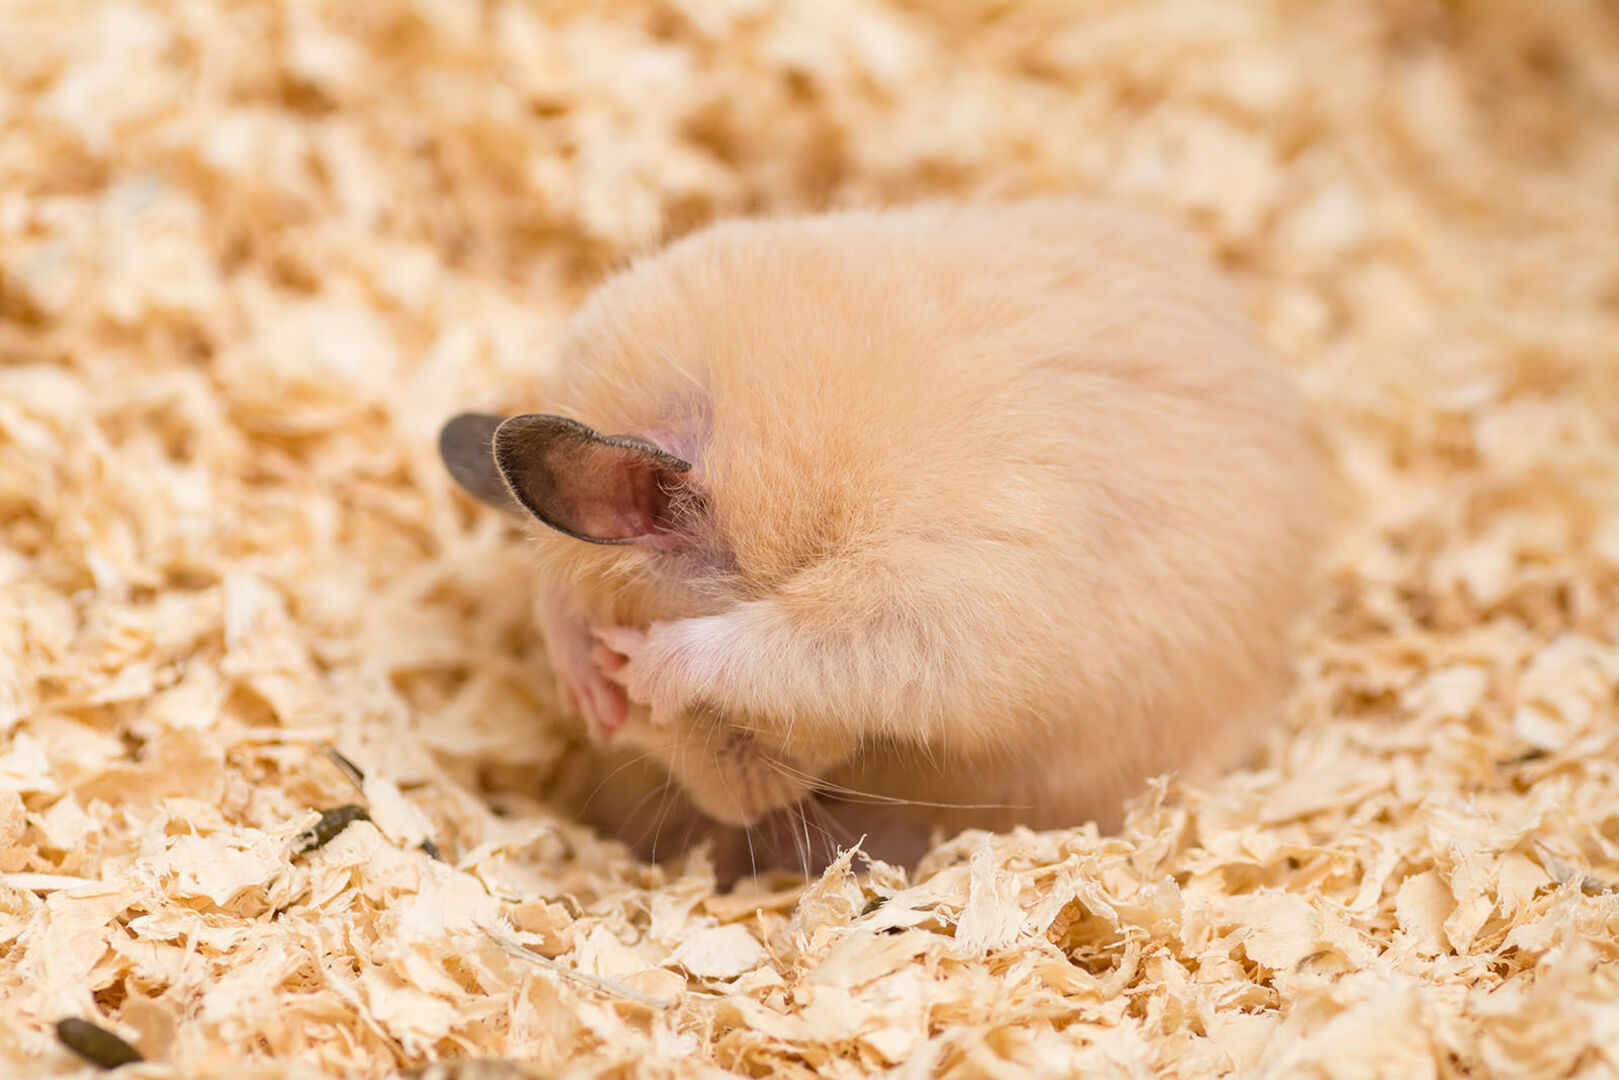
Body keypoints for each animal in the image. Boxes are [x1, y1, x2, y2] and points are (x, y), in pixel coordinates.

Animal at [440, 199, 1326, 876]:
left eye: (725, 724)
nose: (745, 811)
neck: (794, 445)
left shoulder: (946, 595)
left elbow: (791, 643)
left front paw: (644, 665)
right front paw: (583, 682)